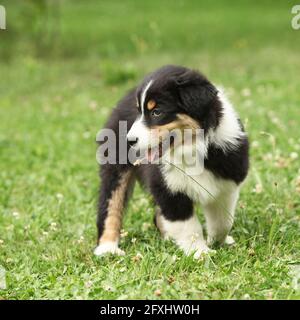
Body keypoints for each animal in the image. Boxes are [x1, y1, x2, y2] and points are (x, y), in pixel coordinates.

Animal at [95, 64, 250, 258]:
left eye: (157, 112)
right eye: (139, 112)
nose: (129, 140)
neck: (192, 149)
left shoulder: (227, 183)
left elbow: (223, 221)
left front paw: (217, 242)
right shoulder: (167, 187)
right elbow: (188, 226)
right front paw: (200, 253)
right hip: (116, 166)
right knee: (111, 201)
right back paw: (107, 248)